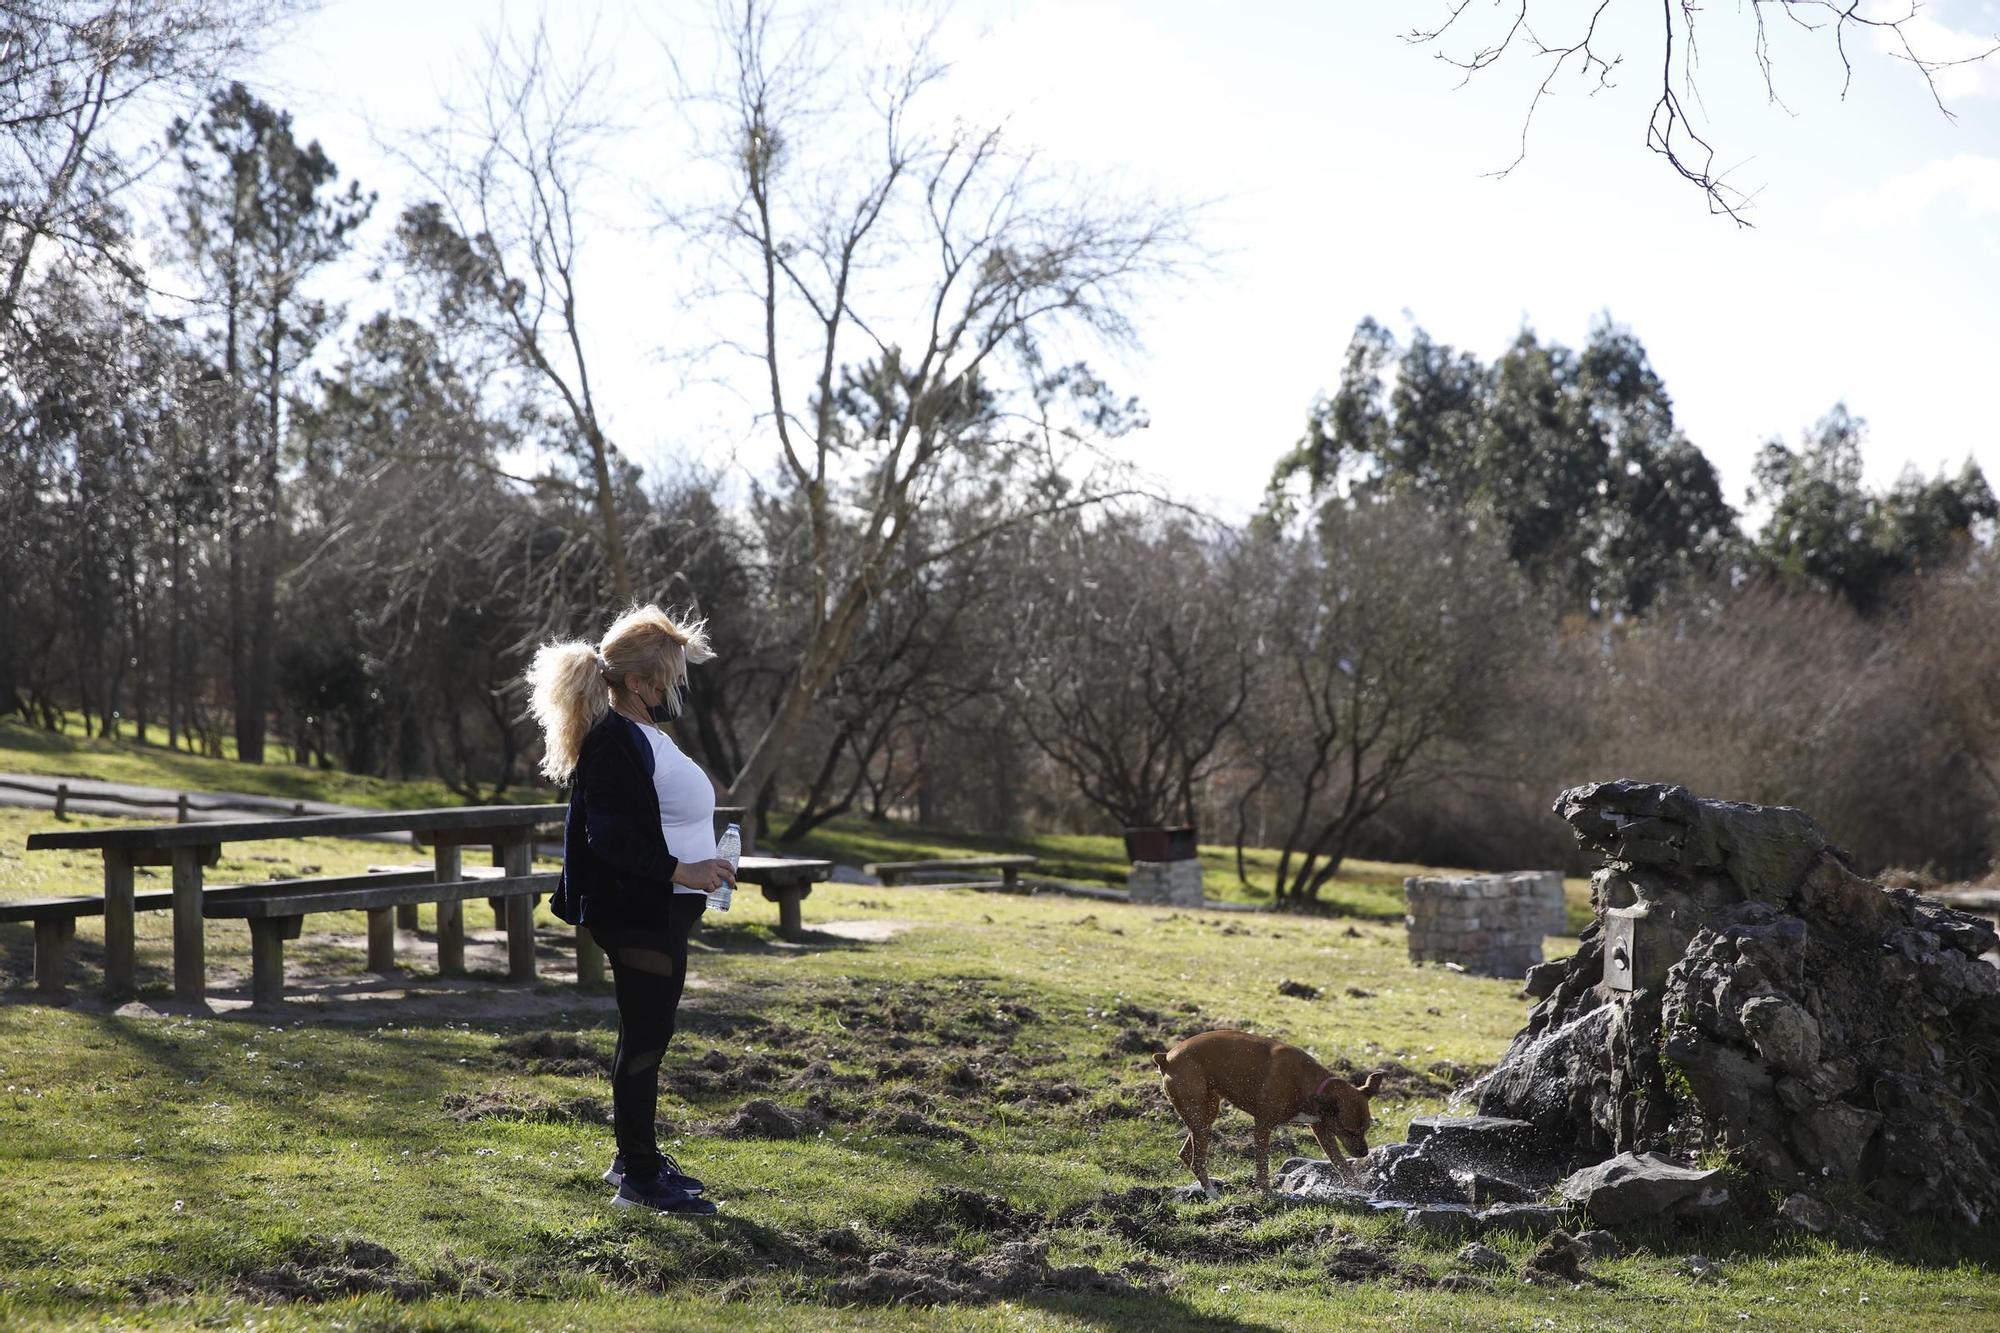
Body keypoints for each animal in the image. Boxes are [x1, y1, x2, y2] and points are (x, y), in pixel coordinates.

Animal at [1160, 1020, 1376, 1200]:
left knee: (1187, 1154)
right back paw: (1213, 1194)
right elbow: (1263, 1165)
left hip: (1207, 1114)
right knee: (1197, 1160)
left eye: (1366, 1129)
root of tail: (1167, 1057)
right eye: (1349, 1131)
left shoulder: (1322, 1131)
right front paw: (1267, 1193)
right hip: (1200, 1117)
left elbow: (1340, 1163)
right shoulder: (1263, 1126)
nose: (1364, 1153)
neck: (1310, 1083)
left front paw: (1358, 1189)